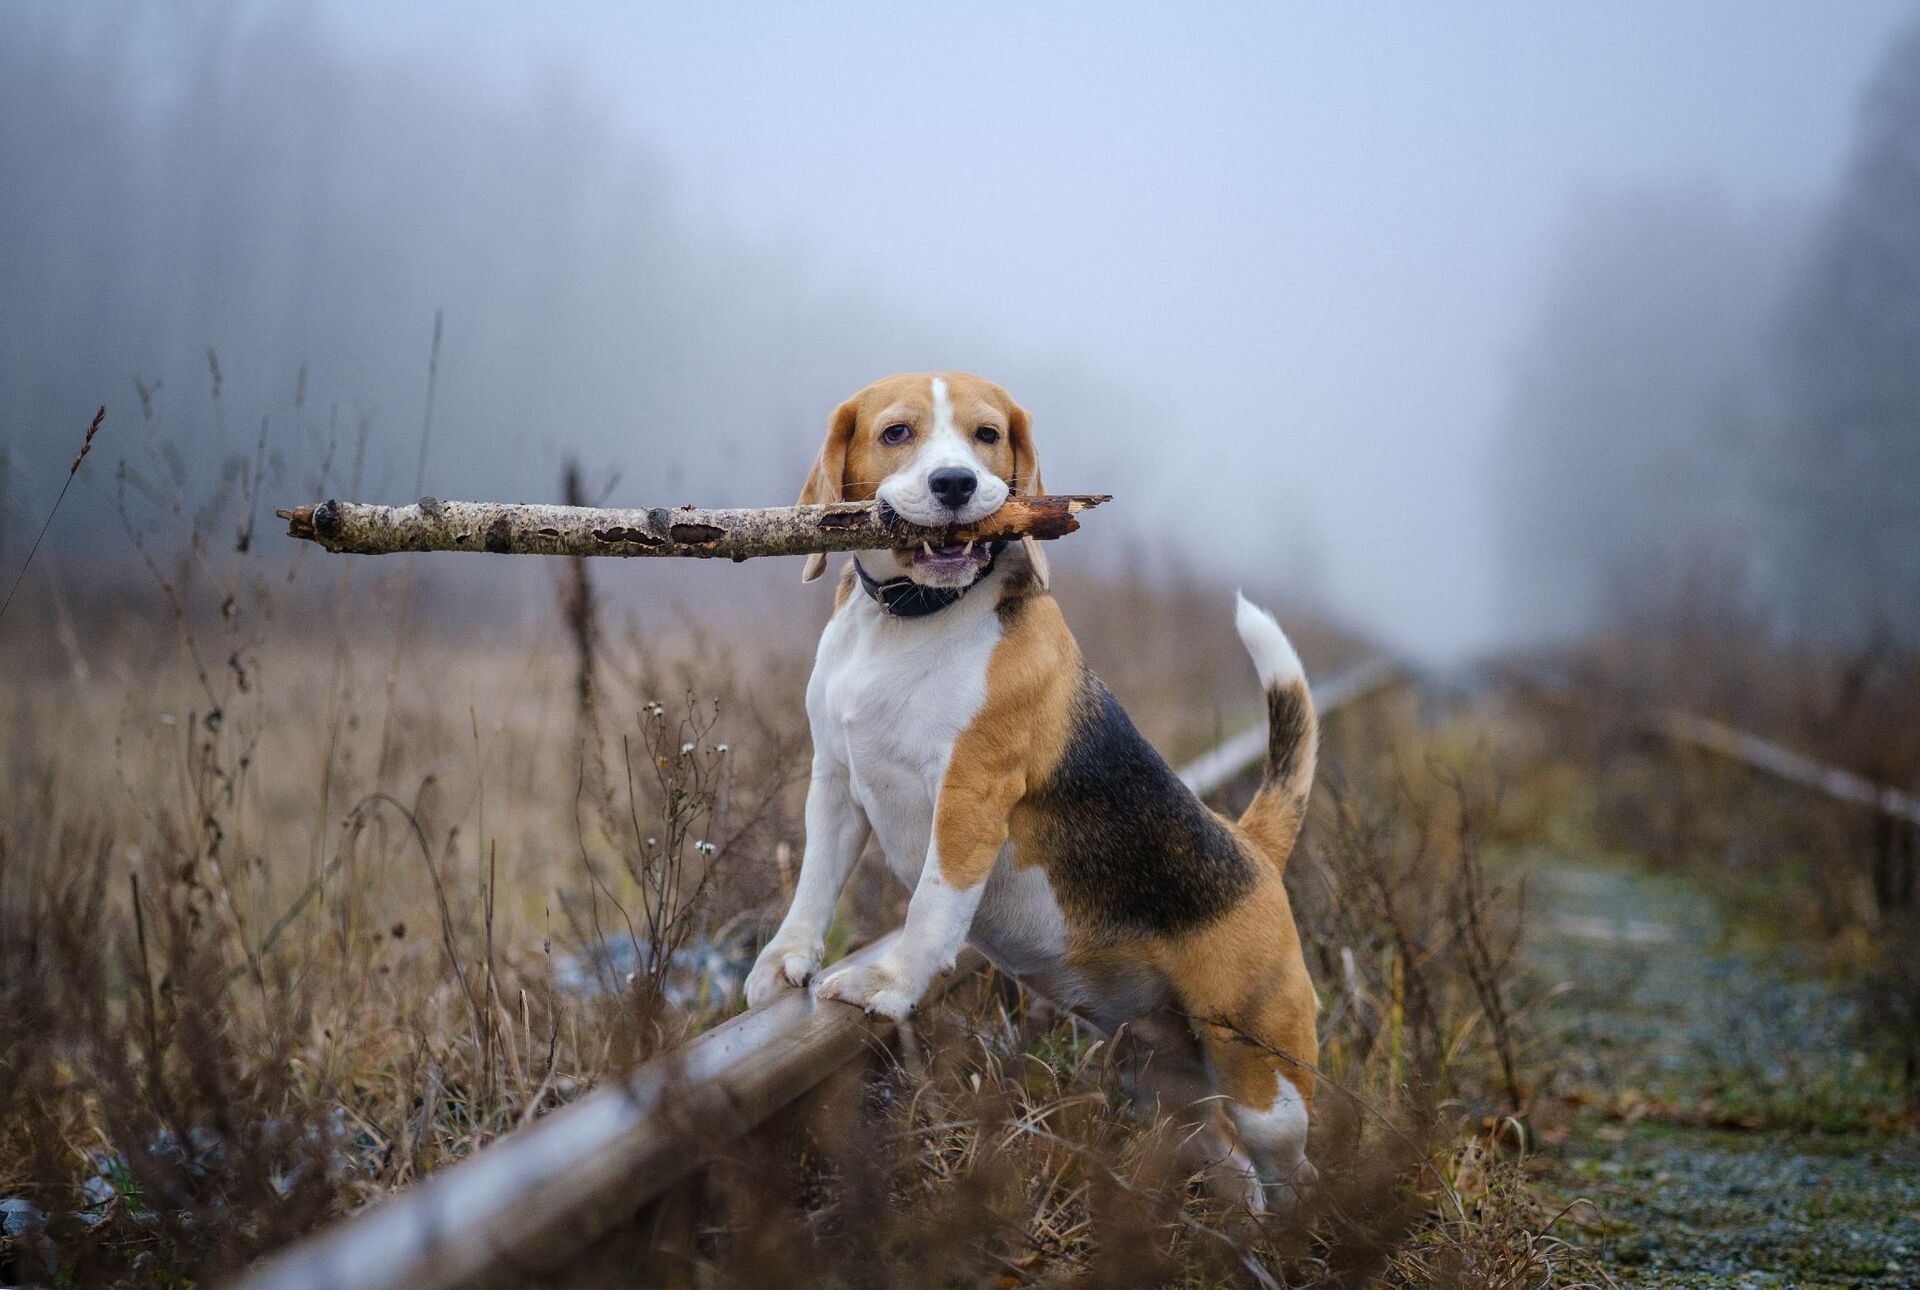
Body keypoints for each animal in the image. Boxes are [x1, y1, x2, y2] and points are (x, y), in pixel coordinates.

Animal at [744, 372, 1320, 1213]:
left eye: (988, 435)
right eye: (896, 433)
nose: (955, 484)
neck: (910, 623)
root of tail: (1252, 849)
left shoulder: (969, 793)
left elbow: (931, 906)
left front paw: (889, 983)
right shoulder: (837, 780)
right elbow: (816, 881)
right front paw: (784, 962)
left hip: (1265, 1082)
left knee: (1292, 1170)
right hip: (1169, 1089)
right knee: (1230, 1163)